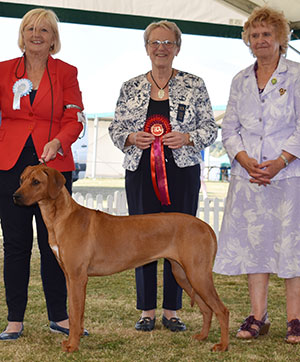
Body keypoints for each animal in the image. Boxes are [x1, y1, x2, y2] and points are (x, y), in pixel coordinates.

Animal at [12, 165, 229, 352]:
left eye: (36, 182)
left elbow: (73, 313)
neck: (61, 217)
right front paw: (77, 337)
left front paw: (73, 346)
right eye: (22, 179)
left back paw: (223, 346)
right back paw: (202, 336)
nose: (15, 196)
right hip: (183, 274)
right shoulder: (71, 277)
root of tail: (206, 226)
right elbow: (77, 313)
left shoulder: (77, 277)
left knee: (222, 310)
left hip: (197, 274)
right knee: (207, 309)